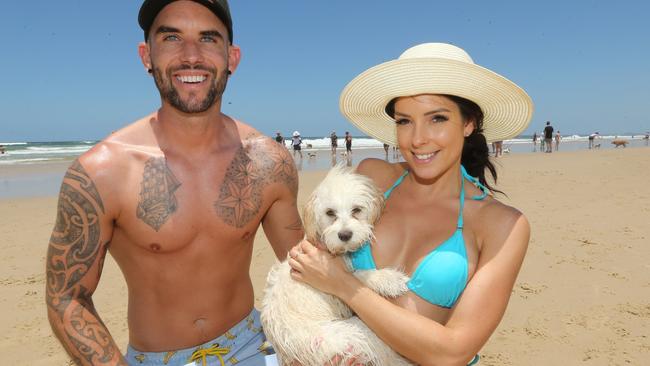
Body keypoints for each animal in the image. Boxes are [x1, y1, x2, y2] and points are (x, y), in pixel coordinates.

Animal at [260, 165, 408, 366]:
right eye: (330, 212)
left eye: (356, 210)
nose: (345, 235)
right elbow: (360, 274)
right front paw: (390, 279)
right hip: (357, 333)